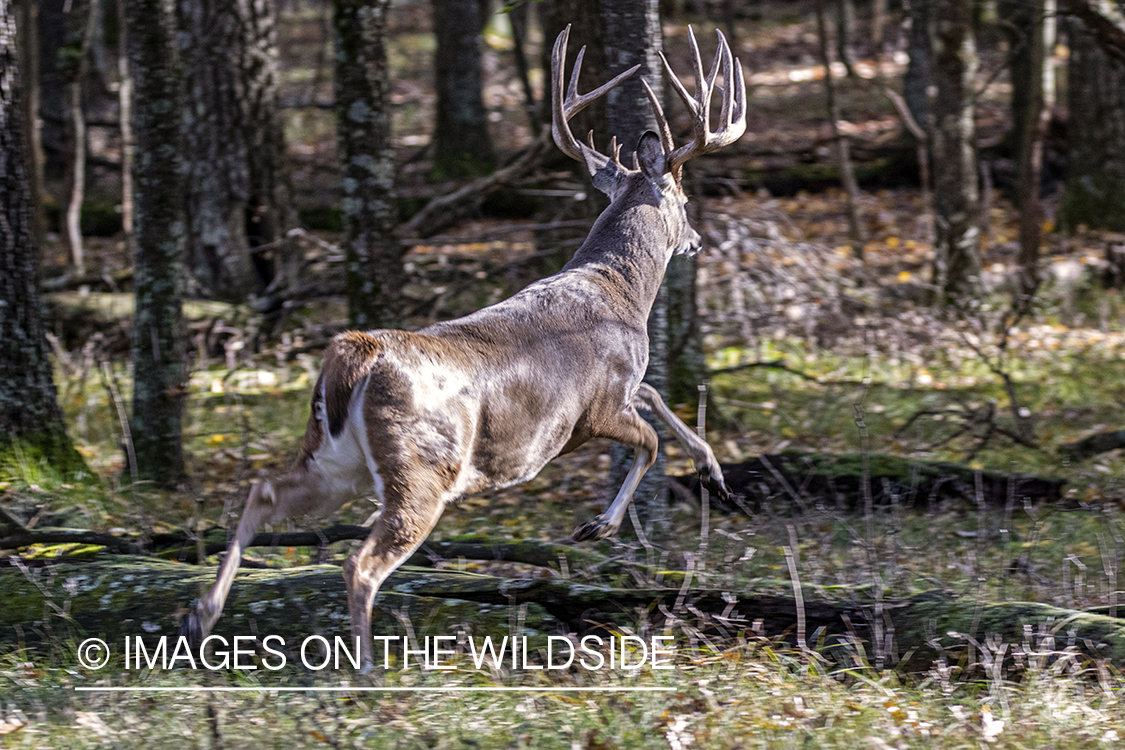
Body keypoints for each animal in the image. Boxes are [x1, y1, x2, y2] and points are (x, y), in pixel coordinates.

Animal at [184, 23, 747, 670]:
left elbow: (654, 398)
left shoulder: (618, 395)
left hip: (334, 458)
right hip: (423, 468)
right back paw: (367, 676)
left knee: (264, 491)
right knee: (360, 564)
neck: (620, 291)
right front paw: (598, 528)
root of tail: (360, 351)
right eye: (684, 198)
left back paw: (202, 616)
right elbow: (650, 437)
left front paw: (713, 469)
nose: (697, 239)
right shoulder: (598, 405)